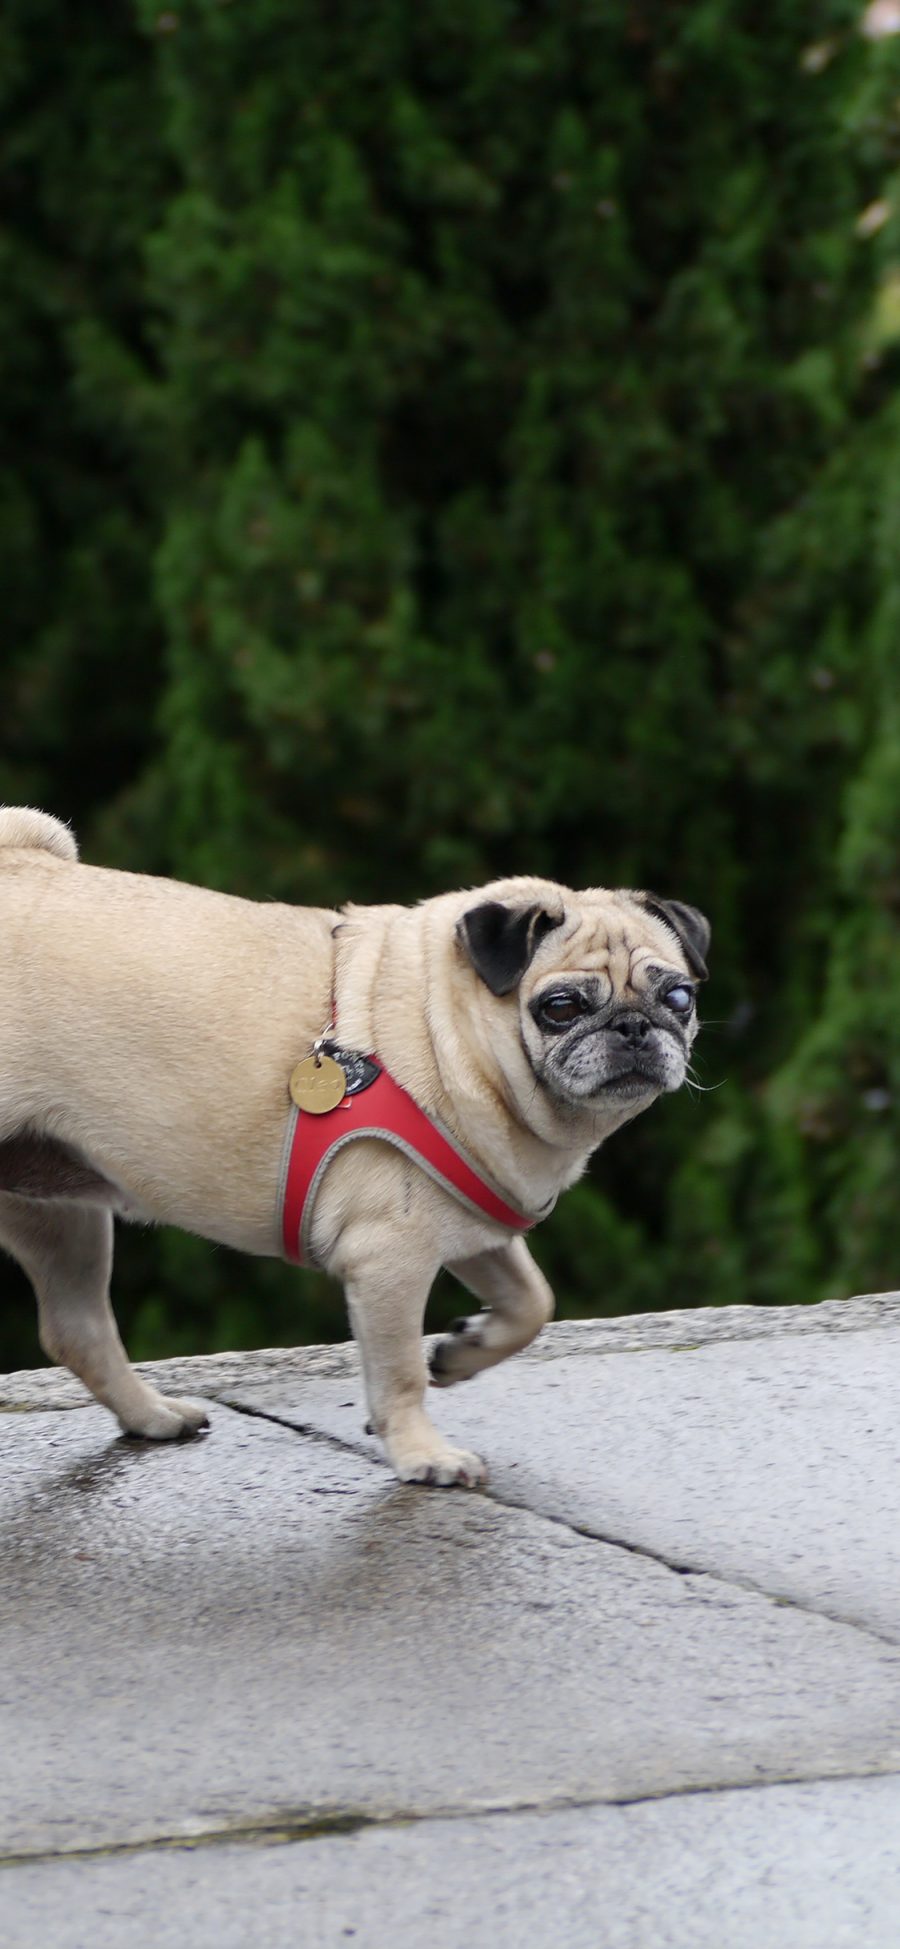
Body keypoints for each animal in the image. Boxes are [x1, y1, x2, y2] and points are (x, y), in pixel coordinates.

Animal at [0, 799, 709, 1481]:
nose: (634, 1027)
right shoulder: (389, 1254)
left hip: (58, 1217)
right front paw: (423, 1453)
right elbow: (399, 1371)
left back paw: (152, 1416)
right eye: (561, 1007)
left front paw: (462, 1352)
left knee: (77, 1331)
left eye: (678, 997)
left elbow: (533, 1301)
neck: (441, 1027)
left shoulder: (469, 1219)